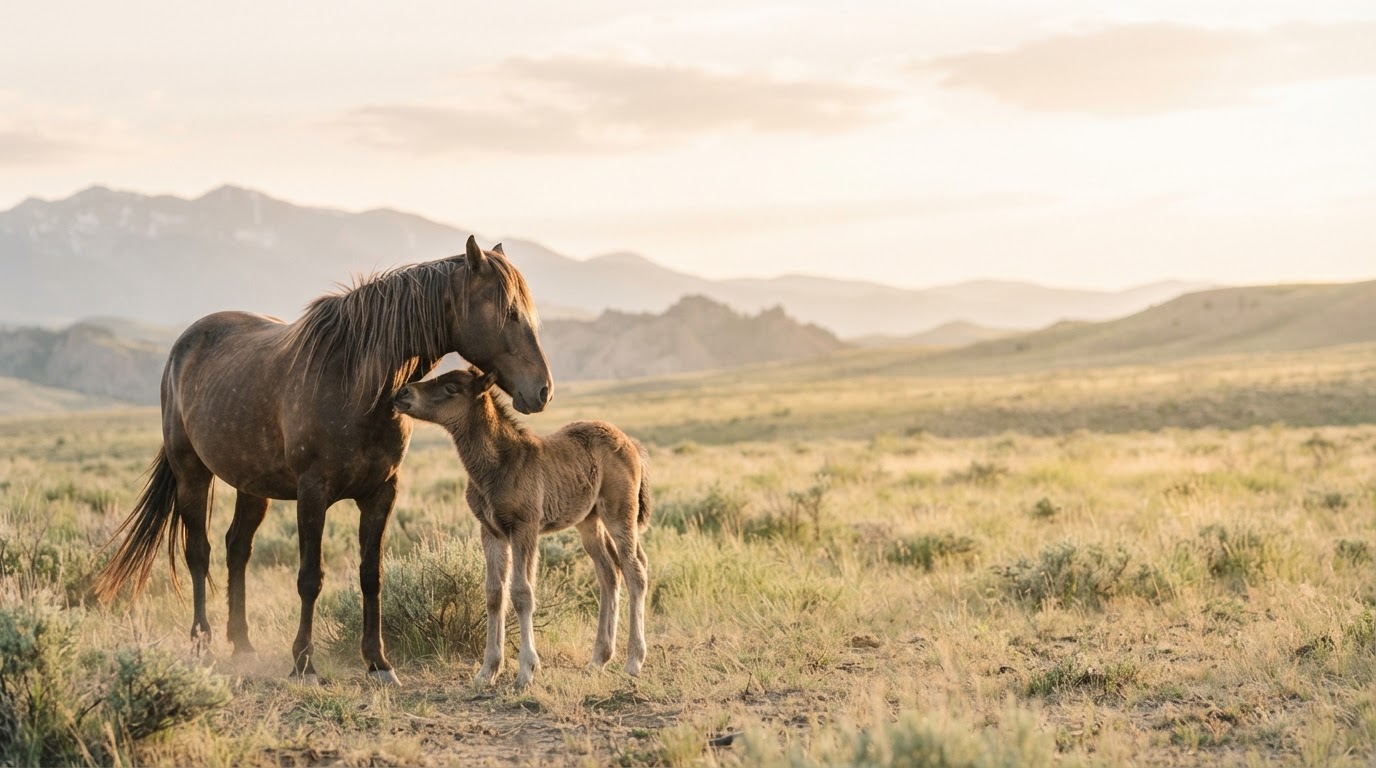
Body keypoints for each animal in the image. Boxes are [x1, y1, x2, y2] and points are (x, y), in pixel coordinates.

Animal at [93, 236, 552, 685]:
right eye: (510, 312)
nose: (543, 390)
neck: (357, 383)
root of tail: (184, 346)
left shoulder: (381, 493)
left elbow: (371, 575)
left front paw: (378, 662)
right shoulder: (312, 493)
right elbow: (310, 578)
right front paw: (304, 663)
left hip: (250, 484)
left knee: (237, 549)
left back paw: (242, 644)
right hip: (192, 473)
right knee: (198, 552)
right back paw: (202, 644)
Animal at [393, 367, 650, 688]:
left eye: (451, 387)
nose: (402, 393)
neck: (497, 465)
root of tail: (632, 444)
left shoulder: (524, 528)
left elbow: (522, 593)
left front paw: (526, 671)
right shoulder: (491, 531)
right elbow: (494, 593)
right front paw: (487, 670)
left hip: (619, 512)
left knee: (635, 569)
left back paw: (633, 661)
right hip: (588, 520)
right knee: (609, 571)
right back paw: (597, 661)